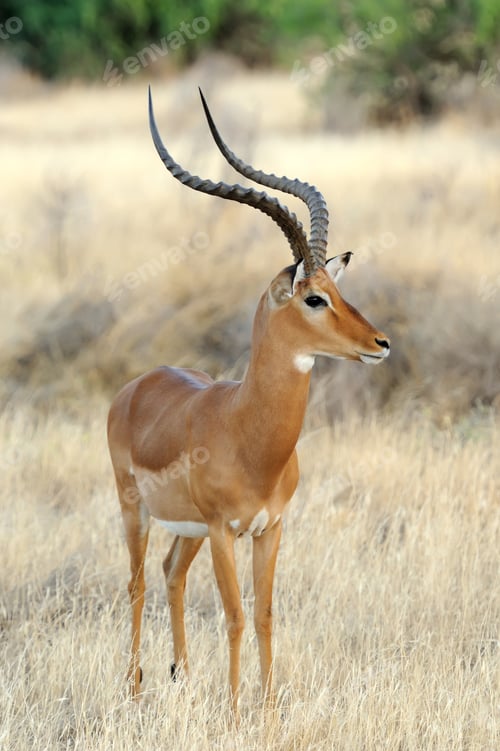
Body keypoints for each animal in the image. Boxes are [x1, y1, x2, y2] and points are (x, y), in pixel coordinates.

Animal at [107, 88, 390, 715]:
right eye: (313, 299)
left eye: (337, 291)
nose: (381, 344)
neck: (249, 434)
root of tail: (136, 386)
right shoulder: (223, 530)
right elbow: (235, 617)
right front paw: (237, 713)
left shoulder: (269, 529)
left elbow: (263, 616)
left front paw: (266, 709)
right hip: (137, 509)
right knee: (137, 581)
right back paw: (134, 686)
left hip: (187, 530)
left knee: (170, 573)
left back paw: (181, 676)